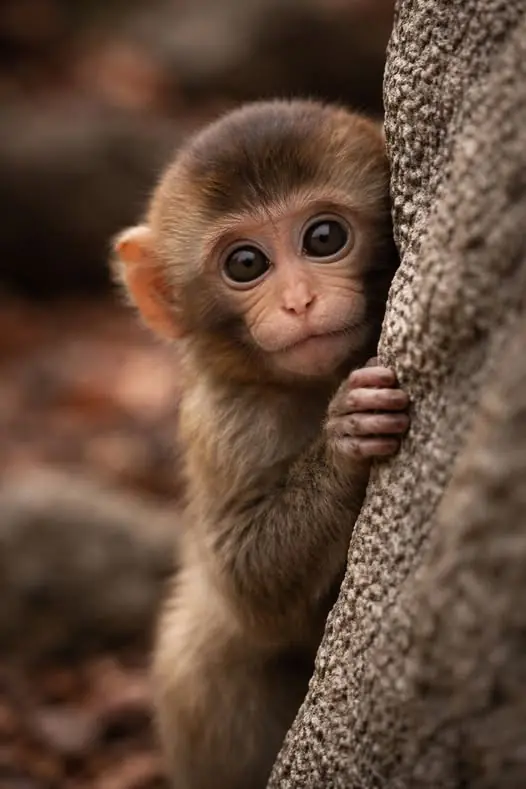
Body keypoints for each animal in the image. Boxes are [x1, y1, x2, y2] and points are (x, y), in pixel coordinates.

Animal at [112, 99, 409, 789]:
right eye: (245, 264)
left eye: (324, 238)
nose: (300, 302)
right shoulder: (223, 420)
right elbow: (244, 583)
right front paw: (345, 442)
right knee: (207, 650)